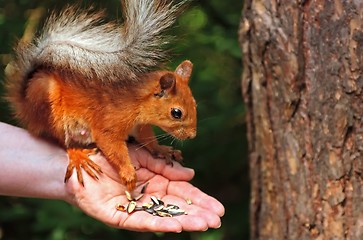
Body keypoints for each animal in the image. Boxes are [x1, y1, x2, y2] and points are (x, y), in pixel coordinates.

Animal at [4, 0, 198, 191]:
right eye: (176, 113)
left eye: (195, 104)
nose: (192, 136)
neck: (136, 101)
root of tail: (25, 106)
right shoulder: (109, 123)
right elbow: (111, 146)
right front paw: (128, 173)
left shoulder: (140, 125)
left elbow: (147, 139)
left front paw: (162, 149)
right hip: (50, 109)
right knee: (61, 141)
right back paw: (78, 156)